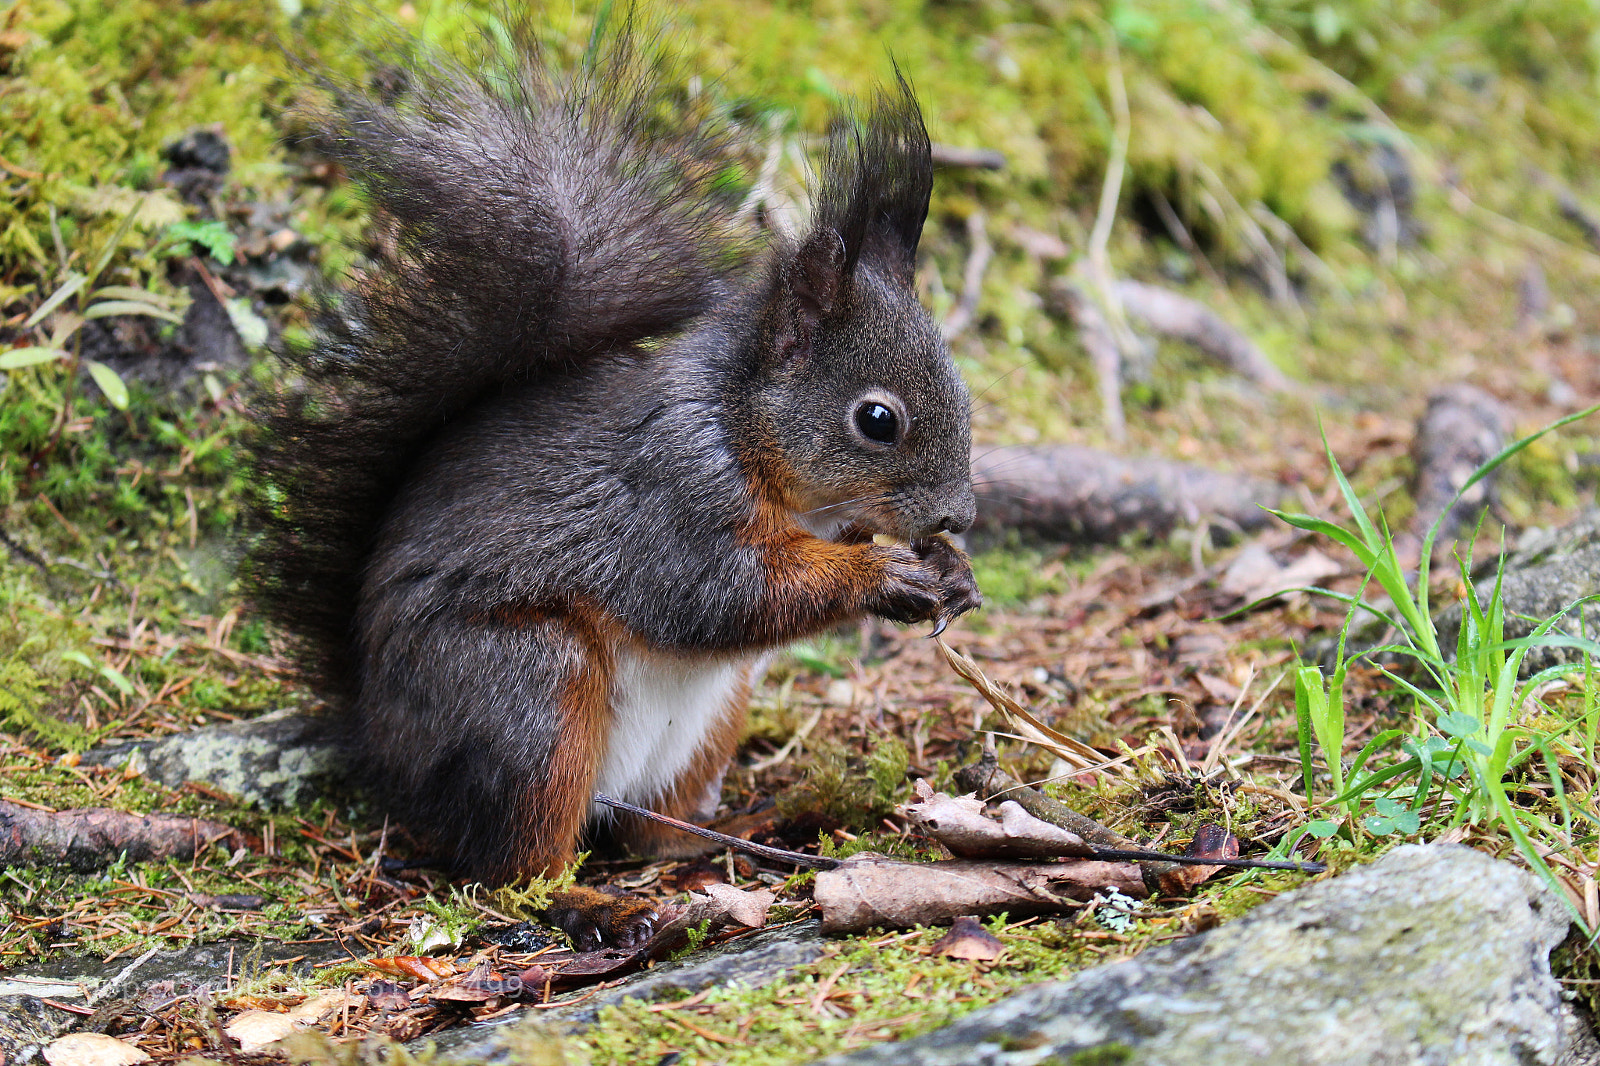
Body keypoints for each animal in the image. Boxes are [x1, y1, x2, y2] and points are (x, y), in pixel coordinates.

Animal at [248, 26, 980, 947]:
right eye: (877, 419)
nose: (962, 513)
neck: (742, 427)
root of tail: (383, 743)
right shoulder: (671, 494)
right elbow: (720, 595)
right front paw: (886, 575)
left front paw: (951, 570)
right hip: (529, 696)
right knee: (508, 869)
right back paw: (594, 907)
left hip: (707, 723)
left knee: (647, 834)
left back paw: (745, 827)